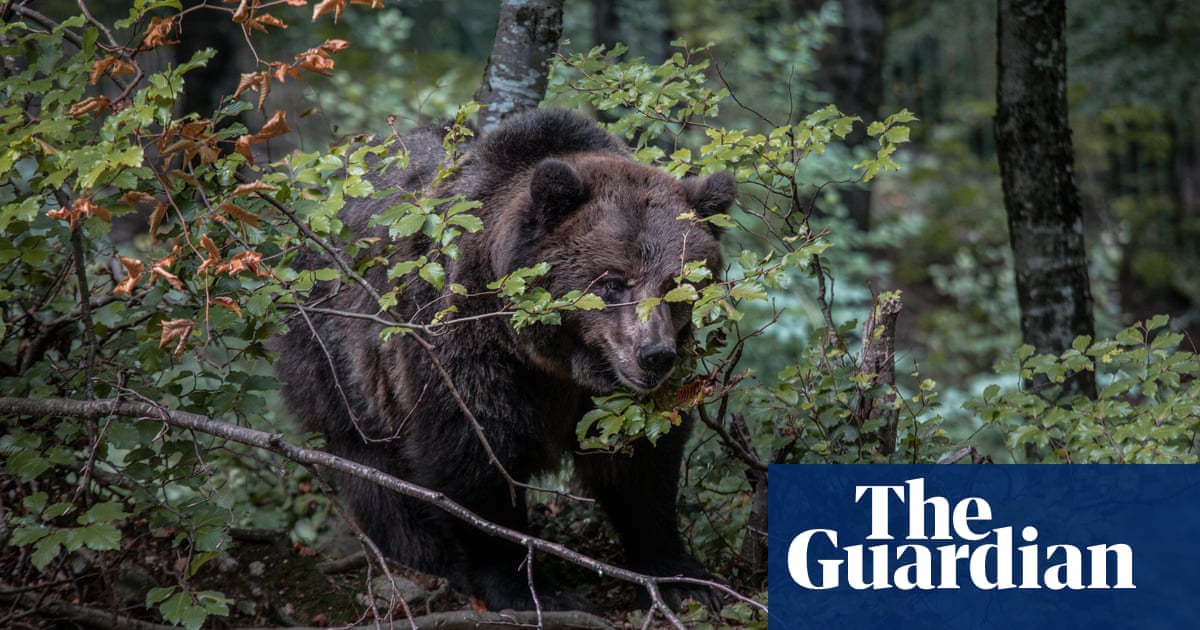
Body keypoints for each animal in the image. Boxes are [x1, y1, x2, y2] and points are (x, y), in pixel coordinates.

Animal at [273, 109, 736, 611]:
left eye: (679, 284)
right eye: (613, 281)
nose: (654, 354)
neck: (557, 362)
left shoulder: (607, 396)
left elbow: (643, 464)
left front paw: (683, 577)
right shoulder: (467, 346)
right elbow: (474, 456)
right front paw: (529, 588)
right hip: (333, 349)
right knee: (368, 460)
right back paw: (426, 553)